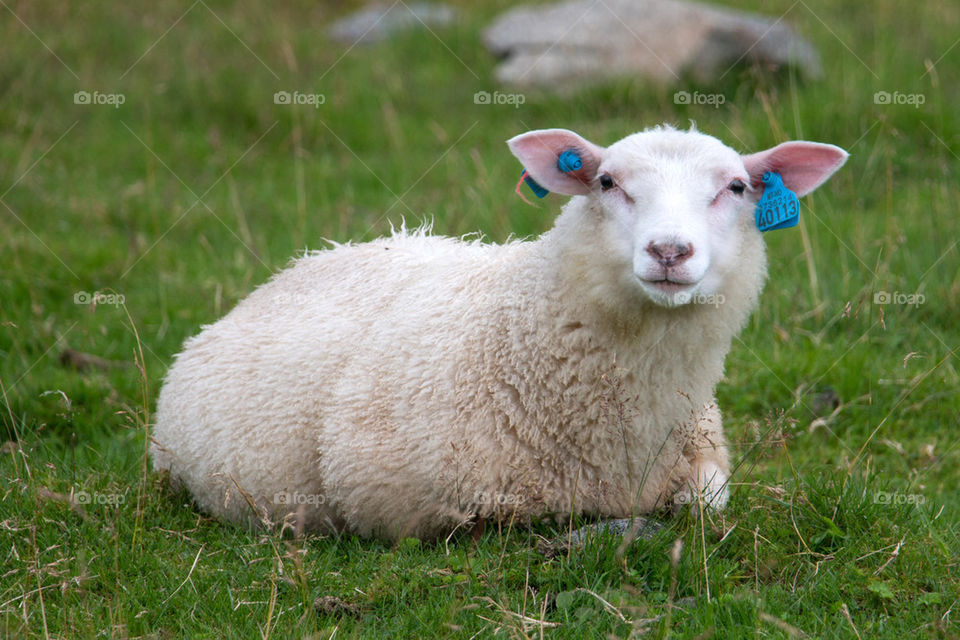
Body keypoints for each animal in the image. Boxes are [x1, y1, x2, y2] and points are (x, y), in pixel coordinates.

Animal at [154, 124, 852, 540]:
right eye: (607, 182)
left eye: (736, 187)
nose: (670, 251)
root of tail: (300, 264)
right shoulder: (399, 500)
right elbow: (499, 516)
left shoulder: (702, 454)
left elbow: (705, 504)